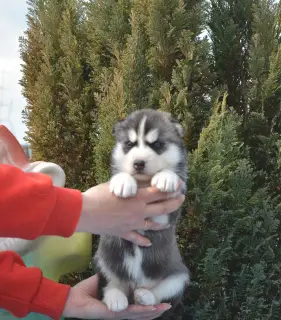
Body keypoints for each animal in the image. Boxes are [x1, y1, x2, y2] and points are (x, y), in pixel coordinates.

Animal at [93, 109, 188, 316]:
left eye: (157, 144)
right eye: (129, 144)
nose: (138, 163)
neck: (144, 183)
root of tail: (134, 286)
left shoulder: (166, 215)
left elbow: (172, 176)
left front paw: (166, 177)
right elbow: (119, 174)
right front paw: (123, 181)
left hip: (180, 275)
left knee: (162, 292)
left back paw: (145, 296)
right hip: (103, 259)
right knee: (110, 282)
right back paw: (116, 298)